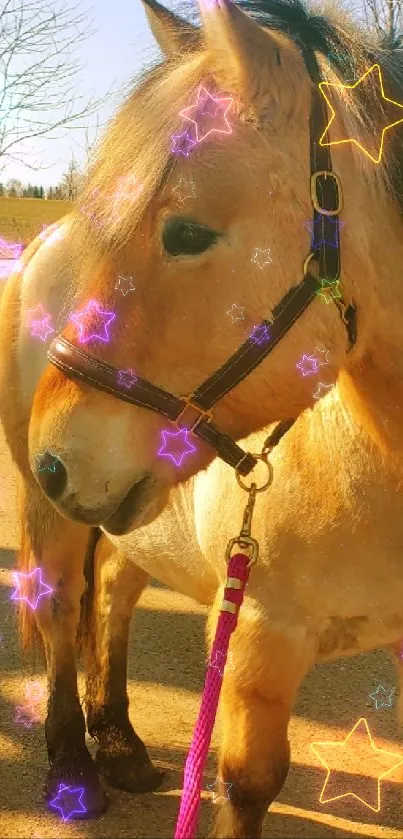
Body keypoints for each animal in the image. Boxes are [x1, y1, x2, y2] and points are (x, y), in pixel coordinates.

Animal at [2, 0, 403, 832]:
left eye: (185, 233)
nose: (54, 458)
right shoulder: (259, 634)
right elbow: (247, 783)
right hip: (57, 521)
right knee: (60, 609)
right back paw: (75, 762)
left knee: (114, 589)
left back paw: (119, 740)